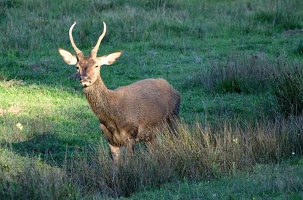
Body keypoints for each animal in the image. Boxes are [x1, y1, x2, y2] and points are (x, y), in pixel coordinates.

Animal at [57, 21, 180, 162]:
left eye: (97, 65)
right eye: (77, 67)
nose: (85, 79)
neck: (113, 118)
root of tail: (173, 89)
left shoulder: (132, 134)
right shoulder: (110, 140)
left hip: (174, 120)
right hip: (151, 135)